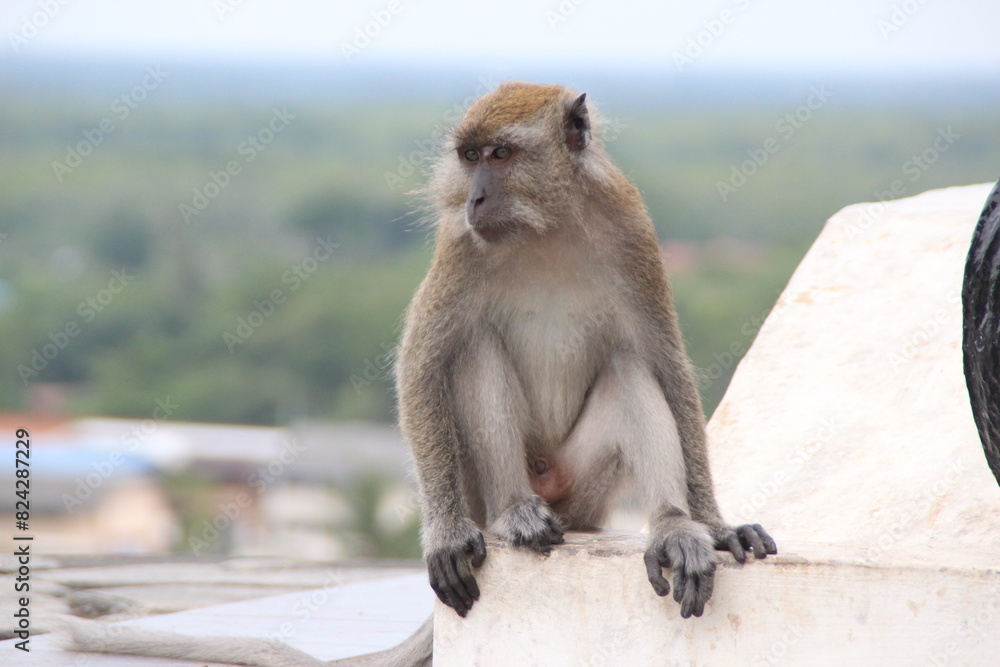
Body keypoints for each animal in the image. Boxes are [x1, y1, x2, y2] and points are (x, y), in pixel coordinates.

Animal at [58, 81, 775, 667]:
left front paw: (713, 525)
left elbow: (664, 364)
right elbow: (424, 365)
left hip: (586, 490)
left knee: (628, 369)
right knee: (477, 354)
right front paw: (445, 535)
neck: (546, 227)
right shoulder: (460, 244)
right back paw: (515, 515)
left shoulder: (632, 230)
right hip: (494, 481)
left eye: (501, 155)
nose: (477, 196)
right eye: (469, 156)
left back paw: (672, 529)